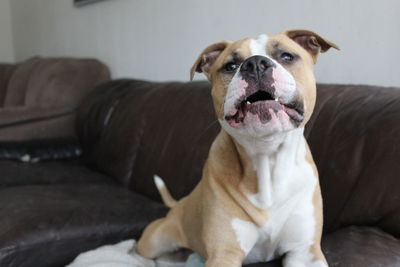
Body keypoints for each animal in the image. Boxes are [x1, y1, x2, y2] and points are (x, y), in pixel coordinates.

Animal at [137, 29, 338, 267]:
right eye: (230, 66)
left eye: (286, 56)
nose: (256, 64)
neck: (266, 157)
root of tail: (180, 204)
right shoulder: (225, 253)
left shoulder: (305, 251)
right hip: (155, 240)